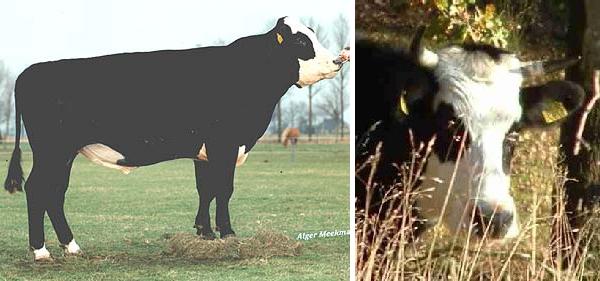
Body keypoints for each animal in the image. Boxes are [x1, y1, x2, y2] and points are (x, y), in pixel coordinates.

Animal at [3, 19, 346, 252]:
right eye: (300, 41)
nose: (336, 61)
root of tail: (31, 71)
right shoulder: (225, 143)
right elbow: (224, 189)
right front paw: (228, 233)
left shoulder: (205, 150)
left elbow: (205, 190)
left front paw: (204, 232)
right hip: (52, 151)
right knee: (37, 189)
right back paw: (41, 251)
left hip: (63, 154)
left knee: (54, 192)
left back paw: (71, 246)